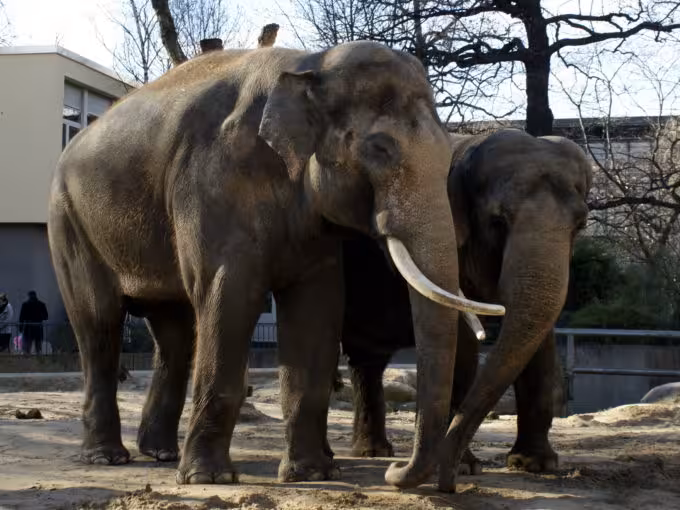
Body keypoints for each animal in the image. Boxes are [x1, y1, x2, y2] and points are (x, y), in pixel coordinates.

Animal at [47, 41, 504, 487]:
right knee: (99, 325)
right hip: (69, 222)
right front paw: (209, 478)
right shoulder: (212, 184)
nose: (394, 470)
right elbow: (230, 297)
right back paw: (107, 457)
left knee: (173, 333)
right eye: (380, 149)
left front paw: (310, 474)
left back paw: (160, 453)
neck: (311, 63)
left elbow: (316, 309)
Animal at [341, 129, 592, 489]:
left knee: (367, 358)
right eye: (497, 221)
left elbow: (540, 338)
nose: (450, 479)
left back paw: (376, 452)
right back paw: (373, 455)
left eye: (580, 225)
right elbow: (461, 341)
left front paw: (535, 464)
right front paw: (466, 469)